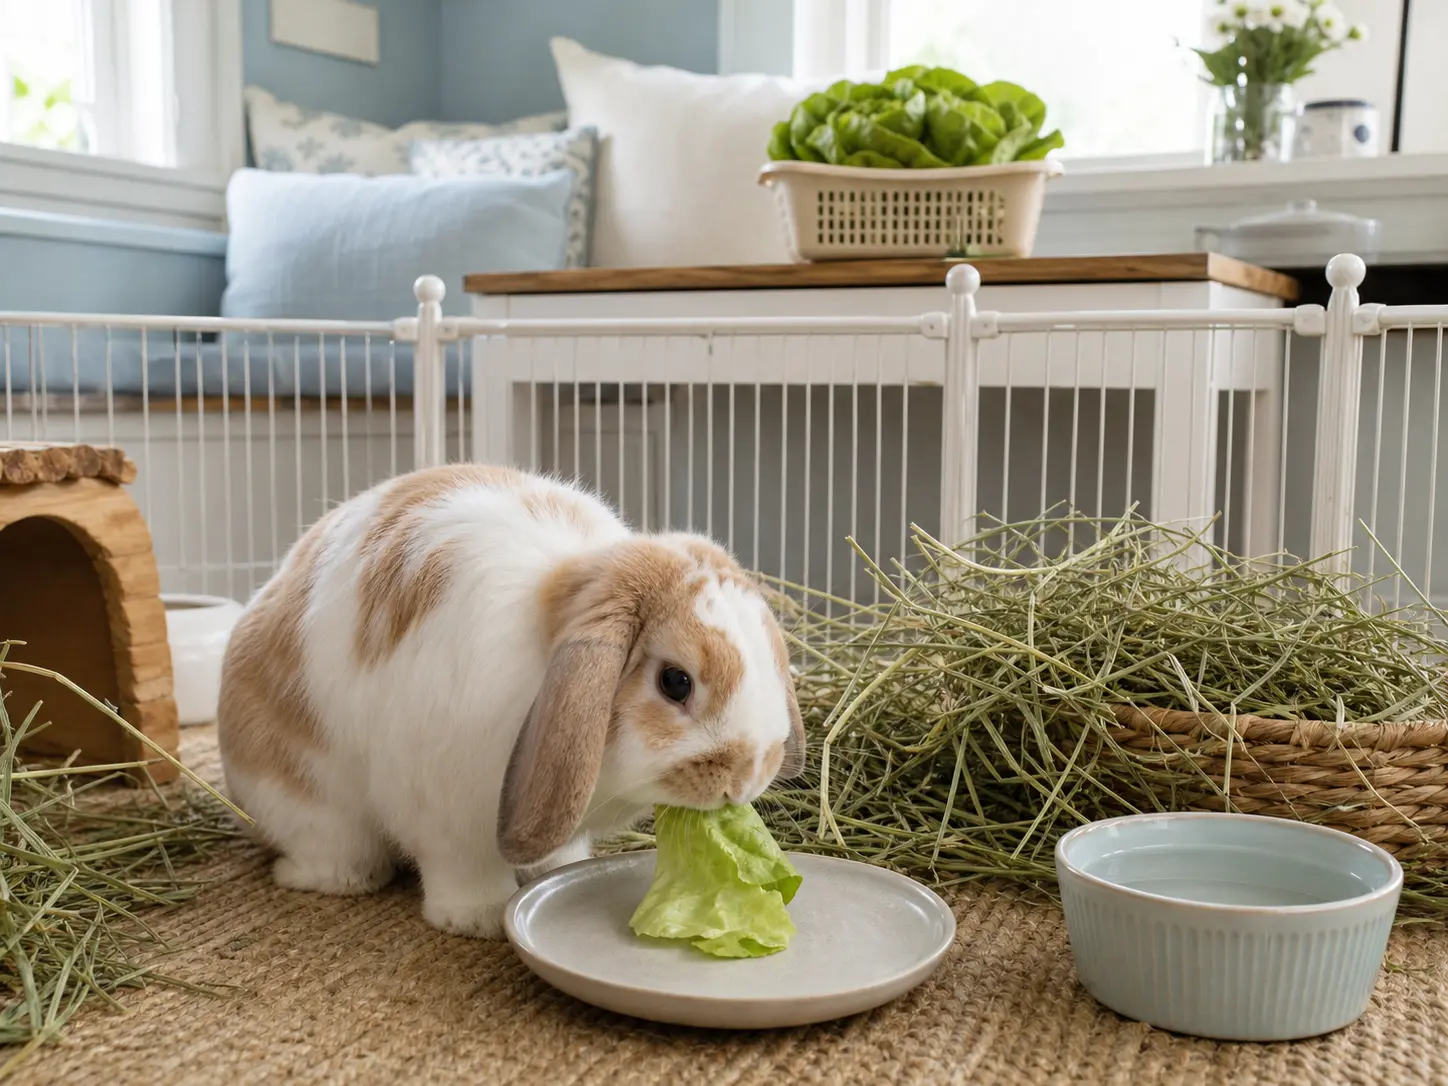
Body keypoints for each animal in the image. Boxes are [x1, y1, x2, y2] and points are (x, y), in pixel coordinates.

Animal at [216, 463, 806, 939]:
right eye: (675, 682)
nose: (746, 778)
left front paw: (551, 874)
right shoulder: (448, 815)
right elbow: (464, 872)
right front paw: (478, 920)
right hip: (310, 801)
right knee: (333, 850)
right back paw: (321, 877)